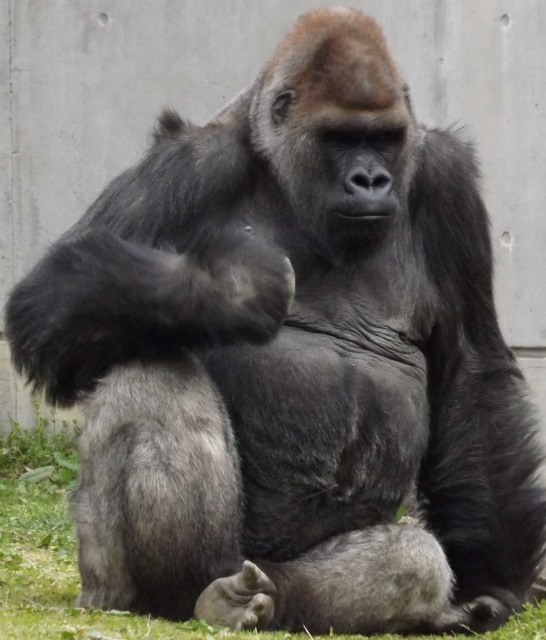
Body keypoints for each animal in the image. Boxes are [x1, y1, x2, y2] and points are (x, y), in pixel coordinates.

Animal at [4, 6, 544, 636]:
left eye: (383, 139)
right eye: (340, 139)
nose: (371, 180)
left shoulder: (446, 181)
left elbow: (472, 373)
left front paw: (494, 579)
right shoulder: (189, 164)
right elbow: (44, 305)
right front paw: (228, 288)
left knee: (411, 560)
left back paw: (268, 596)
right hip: (115, 577)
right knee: (150, 369)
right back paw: (179, 589)